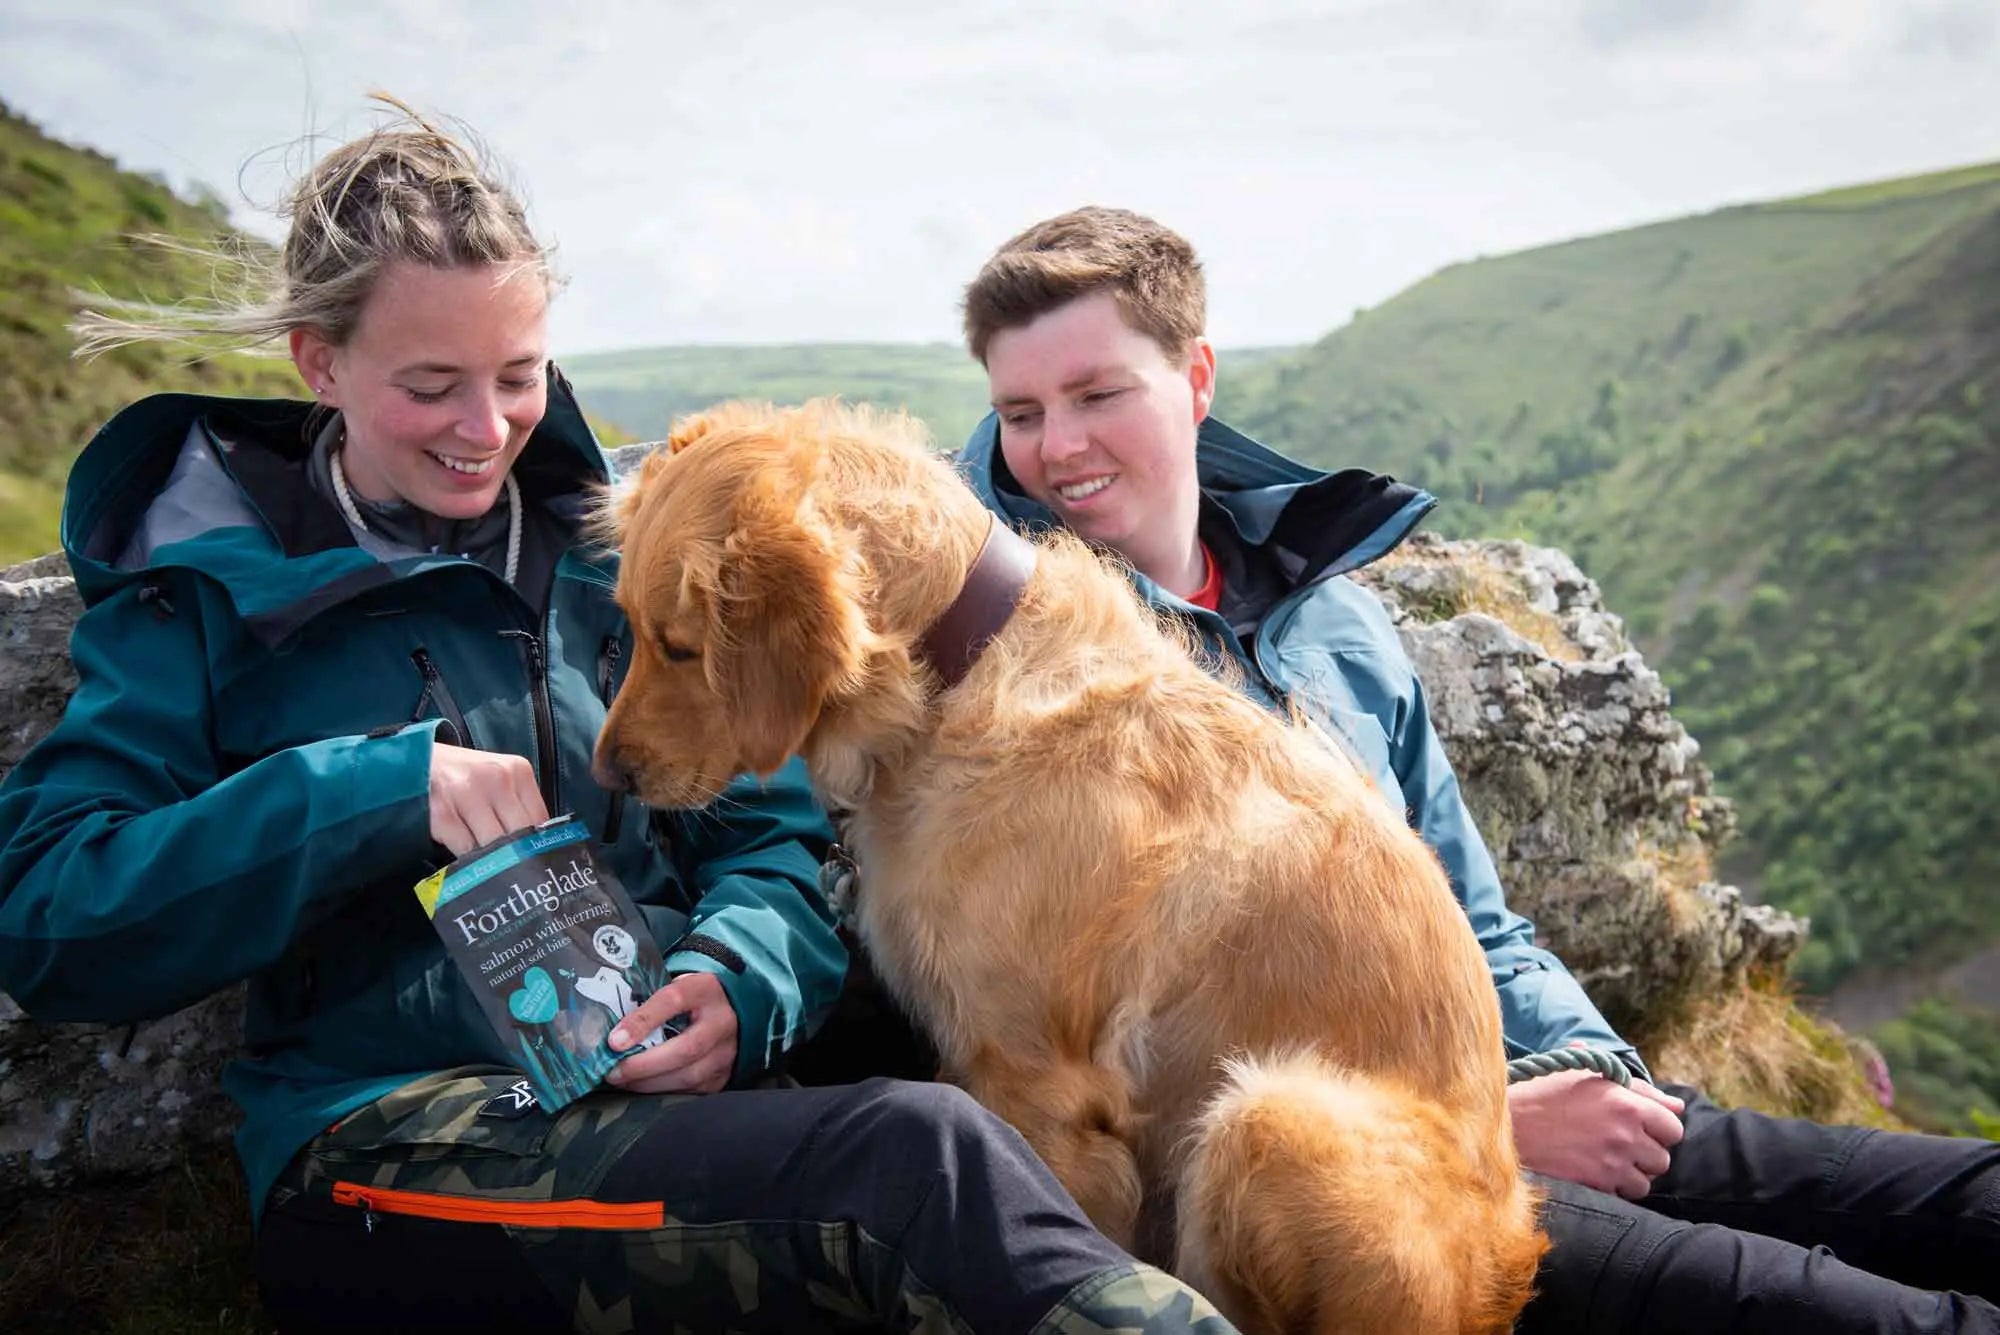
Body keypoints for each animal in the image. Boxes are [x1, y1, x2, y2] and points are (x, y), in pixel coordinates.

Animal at [592, 401, 1544, 1327]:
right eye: (629, 626)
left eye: (679, 645)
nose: (608, 775)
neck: (950, 677)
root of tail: (1504, 1268)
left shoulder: (1039, 1087)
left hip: (1261, 1113)